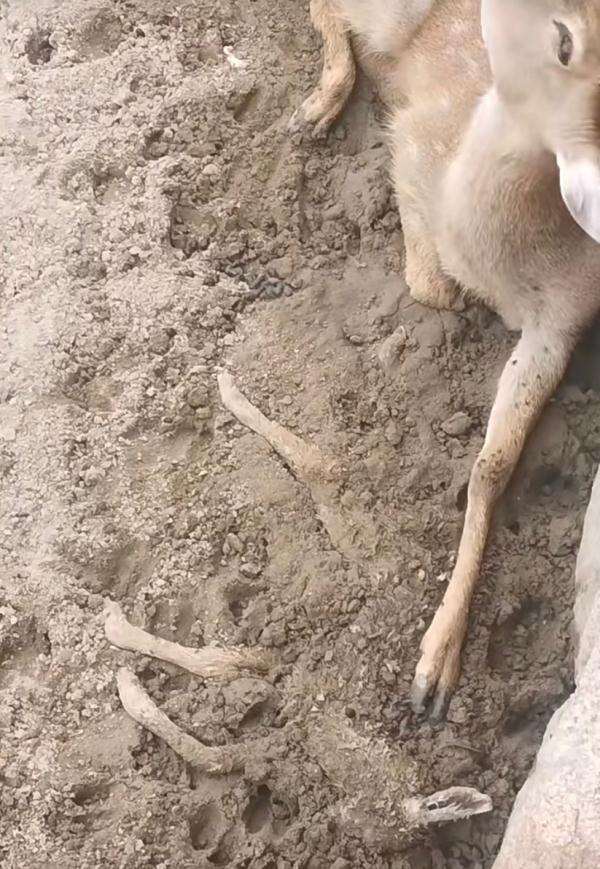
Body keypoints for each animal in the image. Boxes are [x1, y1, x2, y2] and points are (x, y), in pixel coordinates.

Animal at [291, 0, 600, 719]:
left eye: (563, 42)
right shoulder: (413, 145)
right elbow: (428, 285)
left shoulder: (561, 323)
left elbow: (492, 465)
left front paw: (435, 670)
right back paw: (319, 107)